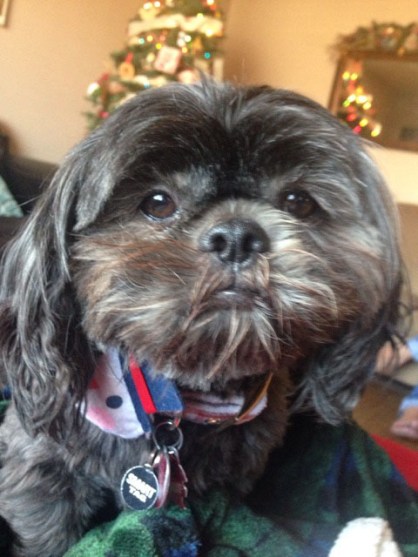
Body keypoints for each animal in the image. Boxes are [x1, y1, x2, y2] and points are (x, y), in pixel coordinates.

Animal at [0, 81, 402, 556]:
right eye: (158, 202)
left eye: (298, 201)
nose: (238, 236)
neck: (185, 403)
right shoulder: (38, 474)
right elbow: (50, 533)